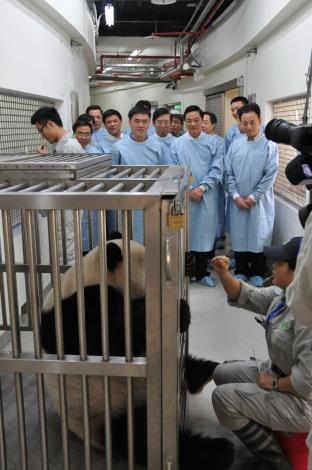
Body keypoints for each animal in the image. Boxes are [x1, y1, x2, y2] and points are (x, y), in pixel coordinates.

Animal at [40, 237, 234, 468]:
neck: (91, 274)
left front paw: (188, 262)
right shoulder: (75, 313)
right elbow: (108, 335)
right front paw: (181, 311)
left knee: (186, 365)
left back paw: (208, 372)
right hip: (105, 410)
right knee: (140, 435)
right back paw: (218, 451)